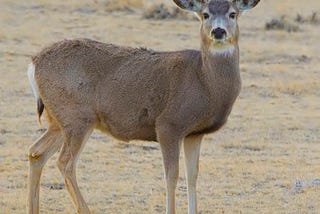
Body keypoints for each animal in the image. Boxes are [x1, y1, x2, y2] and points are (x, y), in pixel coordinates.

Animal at [26, 0, 260, 214]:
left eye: (233, 14)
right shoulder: (169, 124)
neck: (204, 81)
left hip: (59, 120)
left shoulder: (195, 133)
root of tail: (33, 63)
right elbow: (171, 174)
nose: (218, 31)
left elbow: (192, 175)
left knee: (36, 152)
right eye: (205, 14)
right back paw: (85, 209)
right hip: (77, 117)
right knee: (65, 162)